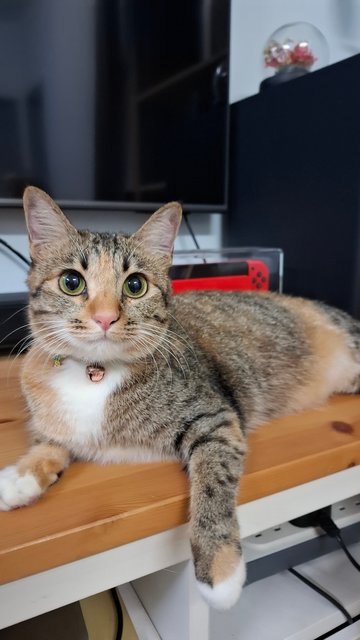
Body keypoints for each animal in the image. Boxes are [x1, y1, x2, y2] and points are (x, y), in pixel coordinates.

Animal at [0, 185, 360, 608]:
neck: (95, 373)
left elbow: (212, 485)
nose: (105, 317)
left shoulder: (215, 418)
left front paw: (220, 570)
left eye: (135, 285)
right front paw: (21, 476)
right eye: (71, 281)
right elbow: (50, 443)